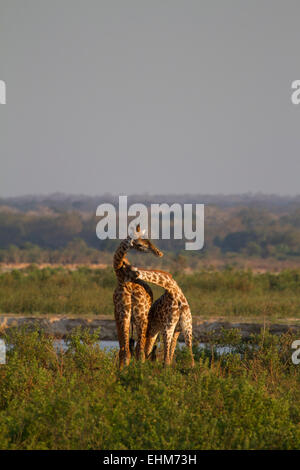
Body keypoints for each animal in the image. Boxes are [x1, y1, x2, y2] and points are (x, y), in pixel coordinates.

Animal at [113, 226, 163, 370]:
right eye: (140, 244)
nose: (159, 253)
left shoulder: (118, 315)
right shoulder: (121, 315)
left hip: (137, 317)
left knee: (136, 349)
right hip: (135, 317)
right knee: (134, 350)